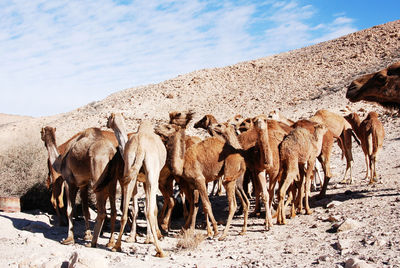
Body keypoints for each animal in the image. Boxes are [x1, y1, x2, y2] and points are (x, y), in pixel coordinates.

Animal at [105, 114, 166, 256]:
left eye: (109, 117)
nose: (106, 122)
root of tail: (141, 148)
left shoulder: (139, 179)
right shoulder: (144, 180)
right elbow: (146, 208)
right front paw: (145, 237)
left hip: (134, 172)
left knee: (129, 210)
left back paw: (117, 246)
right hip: (150, 176)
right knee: (149, 210)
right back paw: (159, 250)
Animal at [155, 112, 248, 242]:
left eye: (168, 127)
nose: (156, 127)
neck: (182, 163)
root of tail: (241, 157)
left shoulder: (200, 180)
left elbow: (206, 204)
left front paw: (214, 231)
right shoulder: (190, 185)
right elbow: (194, 206)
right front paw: (187, 230)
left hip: (229, 173)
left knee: (233, 204)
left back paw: (223, 234)